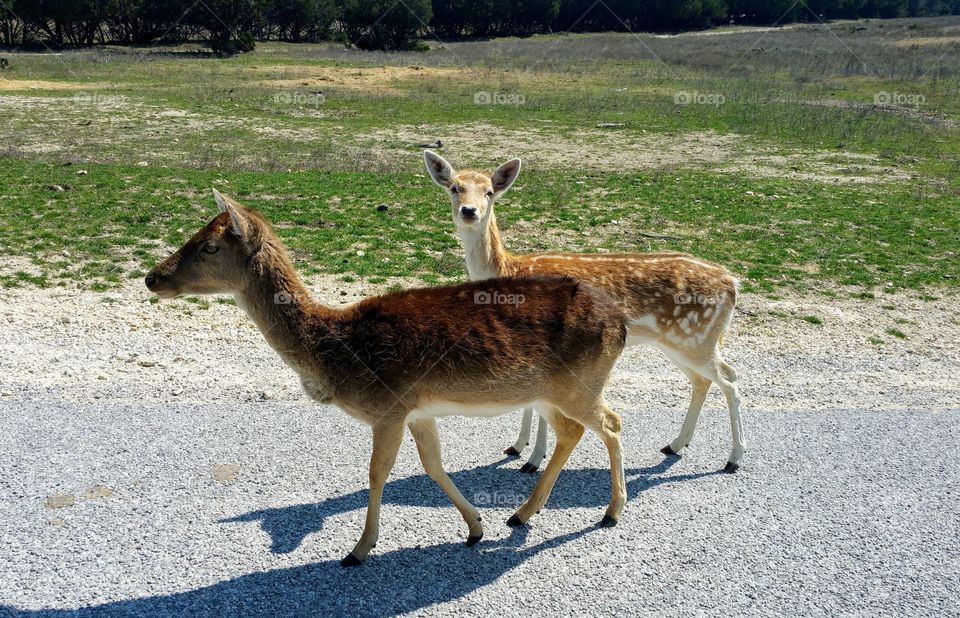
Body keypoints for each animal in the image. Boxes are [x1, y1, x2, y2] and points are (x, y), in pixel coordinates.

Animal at [145, 190, 629, 567]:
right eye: (195, 235)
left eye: (210, 246)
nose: (151, 277)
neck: (336, 349)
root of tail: (621, 322)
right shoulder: (418, 411)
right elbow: (433, 464)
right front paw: (475, 527)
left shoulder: (388, 408)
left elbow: (377, 474)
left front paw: (358, 550)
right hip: (550, 391)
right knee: (572, 431)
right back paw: (522, 514)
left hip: (578, 383)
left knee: (611, 422)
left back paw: (611, 512)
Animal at [424, 150, 745, 474]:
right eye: (455, 187)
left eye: (489, 191)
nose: (469, 210)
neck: (508, 270)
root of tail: (733, 283)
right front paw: (517, 447)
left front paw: (533, 459)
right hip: (681, 342)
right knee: (703, 380)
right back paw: (676, 444)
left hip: (697, 338)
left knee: (730, 378)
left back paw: (733, 458)